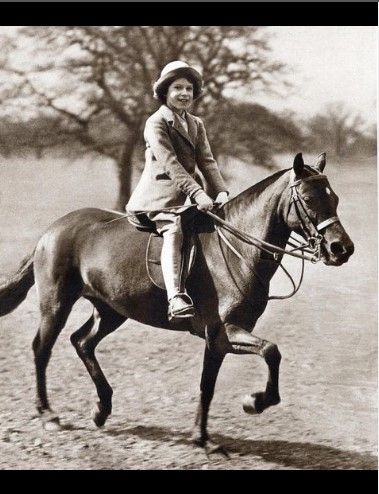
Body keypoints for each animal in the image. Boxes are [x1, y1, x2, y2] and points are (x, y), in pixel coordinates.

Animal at [0, 152, 356, 454]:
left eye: (335, 198)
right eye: (308, 199)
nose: (342, 249)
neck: (237, 249)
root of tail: (51, 230)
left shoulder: (220, 339)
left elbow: (210, 385)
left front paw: (203, 436)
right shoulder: (223, 332)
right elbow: (269, 352)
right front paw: (252, 404)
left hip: (111, 310)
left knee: (82, 341)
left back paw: (102, 409)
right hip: (56, 304)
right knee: (42, 349)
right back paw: (48, 414)